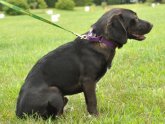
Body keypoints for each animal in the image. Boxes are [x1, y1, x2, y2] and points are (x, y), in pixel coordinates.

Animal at [16, 8, 153, 118]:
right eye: (135, 18)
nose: (152, 24)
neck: (101, 40)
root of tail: (19, 114)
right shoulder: (88, 82)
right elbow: (92, 102)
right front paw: (96, 117)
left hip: (62, 96)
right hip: (55, 91)